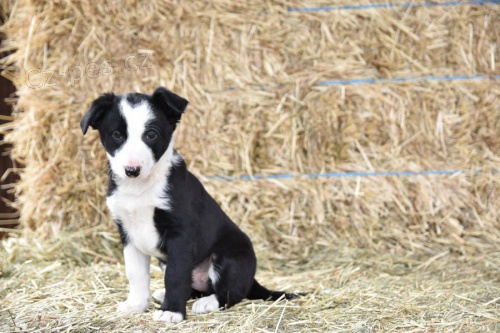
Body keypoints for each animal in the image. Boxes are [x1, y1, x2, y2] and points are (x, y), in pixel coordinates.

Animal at [79, 87, 296, 322]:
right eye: (117, 135)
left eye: (151, 135)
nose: (132, 170)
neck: (140, 189)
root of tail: (252, 278)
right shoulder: (128, 233)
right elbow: (136, 274)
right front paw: (136, 305)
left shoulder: (180, 234)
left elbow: (175, 275)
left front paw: (171, 311)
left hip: (230, 256)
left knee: (232, 293)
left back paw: (207, 302)